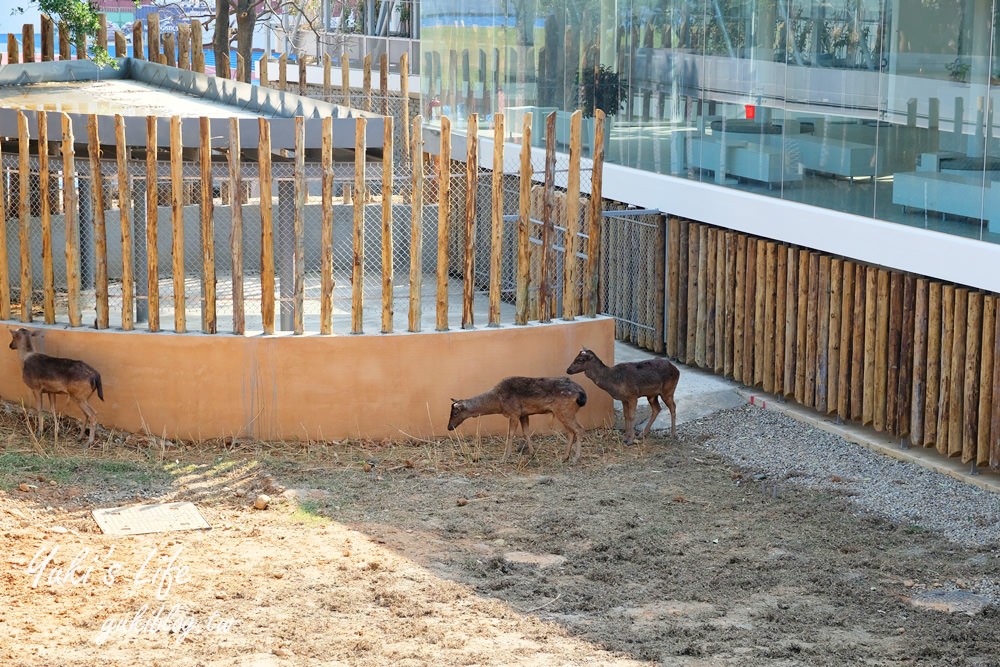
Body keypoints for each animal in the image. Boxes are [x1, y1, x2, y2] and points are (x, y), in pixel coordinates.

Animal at [446, 376, 584, 464]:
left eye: (455, 412)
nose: (449, 427)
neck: (498, 402)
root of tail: (582, 394)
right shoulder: (523, 414)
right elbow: (526, 432)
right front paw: (532, 453)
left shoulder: (514, 413)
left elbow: (510, 434)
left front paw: (505, 457)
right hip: (564, 413)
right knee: (571, 431)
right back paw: (565, 457)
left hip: (564, 410)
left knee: (579, 429)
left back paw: (575, 459)